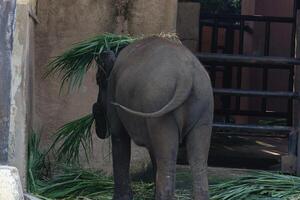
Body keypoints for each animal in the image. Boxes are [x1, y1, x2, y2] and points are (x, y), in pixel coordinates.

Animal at [94, 36, 213, 199]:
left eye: (98, 80)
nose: (95, 110)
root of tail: (186, 76)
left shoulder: (113, 94)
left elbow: (119, 138)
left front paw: (121, 198)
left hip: (160, 106)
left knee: (166, 162)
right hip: (204, 106)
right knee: (199, 163)